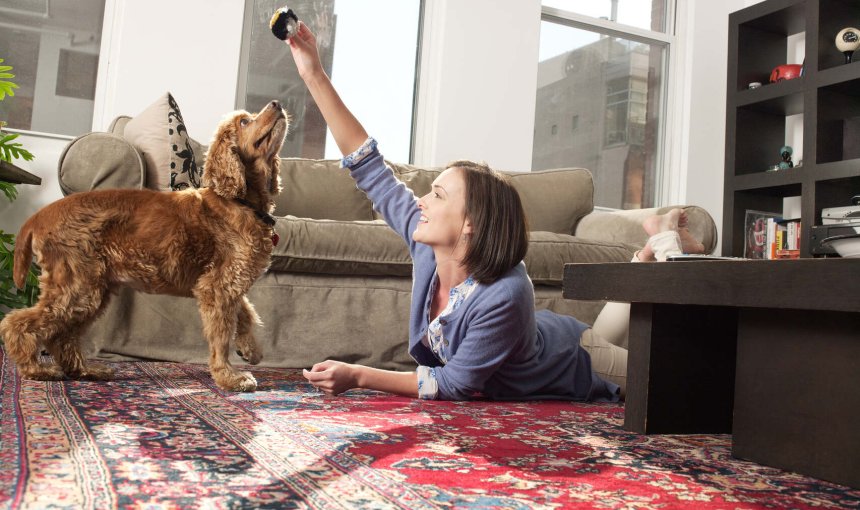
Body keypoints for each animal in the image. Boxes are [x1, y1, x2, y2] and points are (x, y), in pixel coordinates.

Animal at [0, 101, 288, 392]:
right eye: (244, 122)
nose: (277, 104)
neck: (241, 201)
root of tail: (40, 215)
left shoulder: (228, 281)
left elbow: (247, 311)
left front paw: (250, 350)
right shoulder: (218, 287)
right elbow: (221, 334)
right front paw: (229, 377)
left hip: (93, 288)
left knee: (63, 335)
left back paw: (85, 370)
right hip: (77, 285)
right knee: (17, 323)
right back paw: (36, 369)